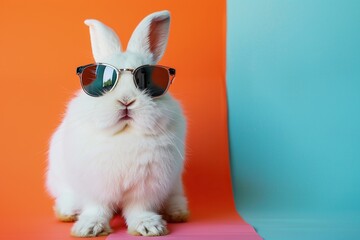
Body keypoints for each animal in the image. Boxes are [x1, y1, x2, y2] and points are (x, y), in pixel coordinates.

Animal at [45, 10, 188, 237]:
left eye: (147, 81)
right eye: (104, 82)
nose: (126, 100)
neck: (125, 133)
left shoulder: (147, 186)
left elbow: (140, 208)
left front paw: (149, 227)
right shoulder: (94, 185)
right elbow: (96, 208)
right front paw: (89, 228)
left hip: (175, 184)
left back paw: (177, 212)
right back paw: (67, 212)